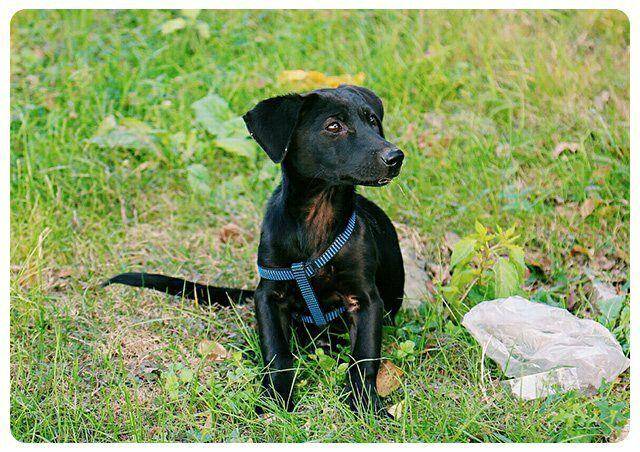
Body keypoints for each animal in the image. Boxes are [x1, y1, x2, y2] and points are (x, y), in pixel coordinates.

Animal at [104, 85, 404, 416]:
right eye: (333, 126)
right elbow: (277, 354)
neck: (317, 221)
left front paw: (365, 405)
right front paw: (274, 401)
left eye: (373, 121)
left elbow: (363, 358)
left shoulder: (365, 299)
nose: (395, 156)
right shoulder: (269, 294)